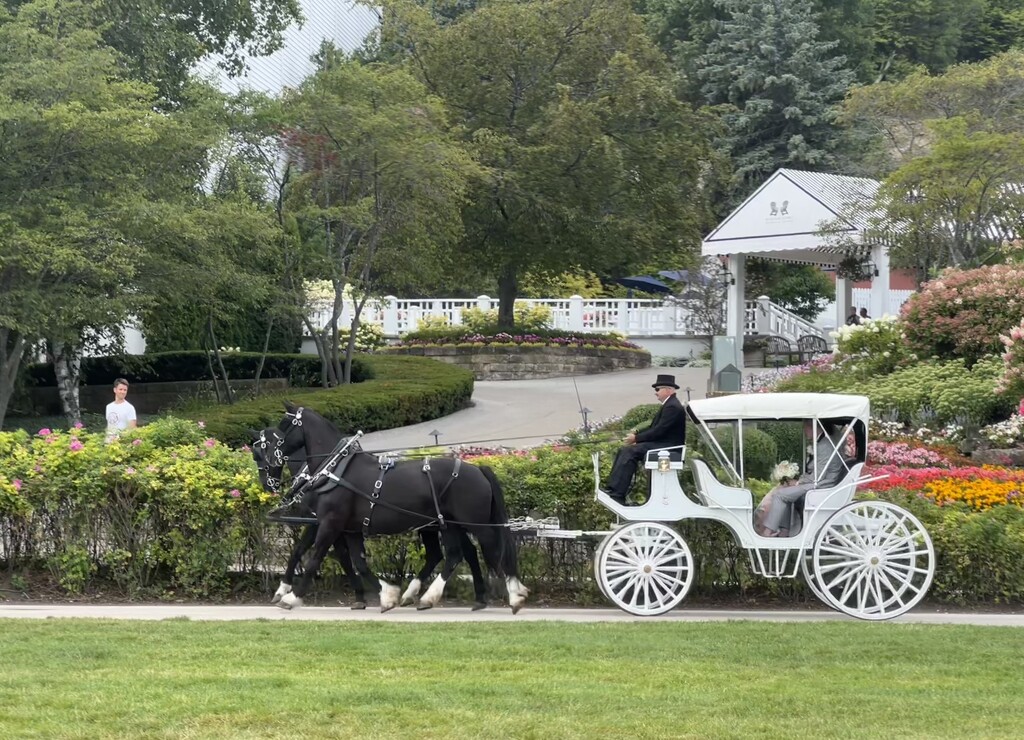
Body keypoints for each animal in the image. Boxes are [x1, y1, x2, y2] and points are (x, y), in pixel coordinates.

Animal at [262, 440, 489, 605]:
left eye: (264, 448)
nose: (268, 484)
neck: (333, 472)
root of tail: (477, 469)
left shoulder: (327, 523)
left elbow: (317, 557)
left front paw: (290, 594)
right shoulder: (340, 527)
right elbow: (350, 559)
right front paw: (375, 595)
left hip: (449, 524)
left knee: (456, 554)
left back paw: (431, 596)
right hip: (438, 526)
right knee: (455, 553)